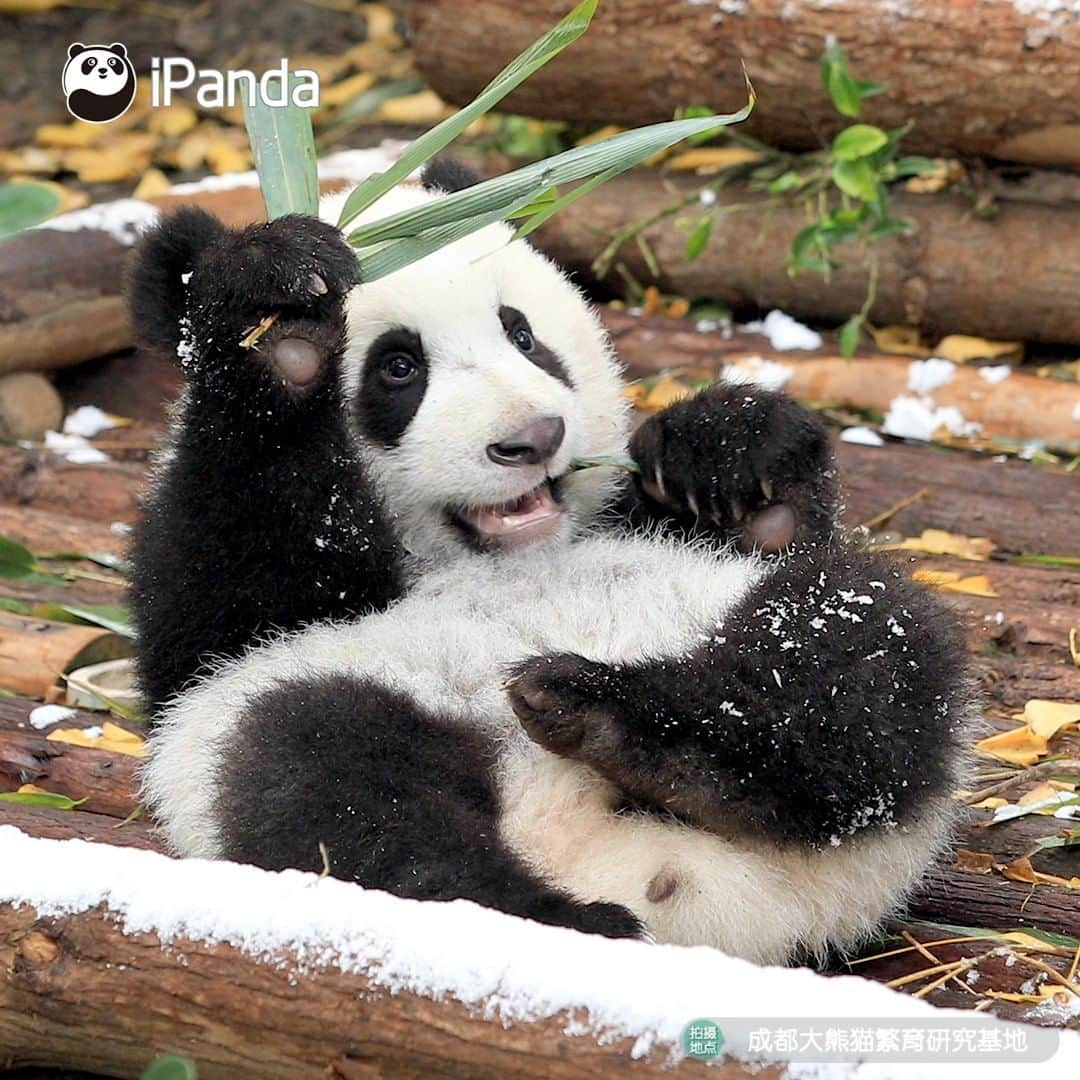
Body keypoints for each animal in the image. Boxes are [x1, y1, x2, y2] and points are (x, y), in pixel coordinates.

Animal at [126, 157, 972, 963]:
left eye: (523, 336)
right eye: (398, 367)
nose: (533, 438)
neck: (490, 557)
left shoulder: (639, 531)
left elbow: (776, 542)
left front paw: (732, 458)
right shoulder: (233, 621)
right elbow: (222, 590)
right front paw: (280, 320)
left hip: (742, 626)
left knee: (851, 651)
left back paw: (622, 722)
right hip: (314, 705)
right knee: (320, 770)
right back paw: (556, 909)